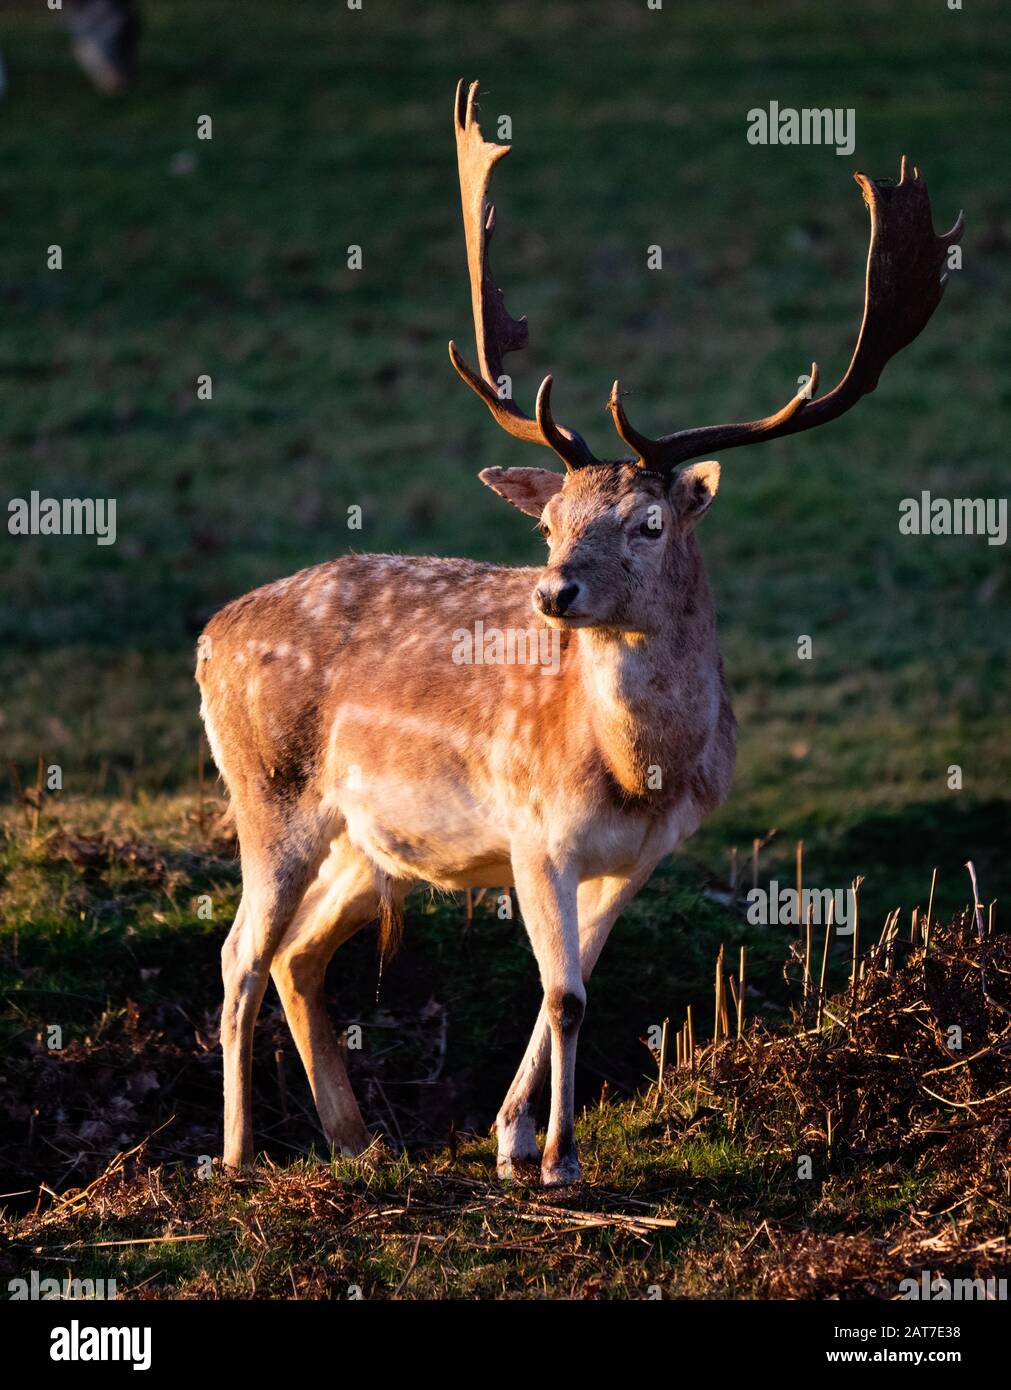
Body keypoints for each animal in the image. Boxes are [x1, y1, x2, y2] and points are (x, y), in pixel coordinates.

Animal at [197, 78, 962, 1184]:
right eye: (551, 521)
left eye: (648, 522)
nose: (553, 593)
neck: (638, 770)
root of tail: (208, 635)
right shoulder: (532, 828)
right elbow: (563, 994)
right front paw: (555, 1157)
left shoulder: (644, 852)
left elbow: (574, 985)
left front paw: (515, 1138)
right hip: (269, 793)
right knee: (238, 954)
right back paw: (239, 1154)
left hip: (368, 840)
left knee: (298, 955)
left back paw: (356, 1141)